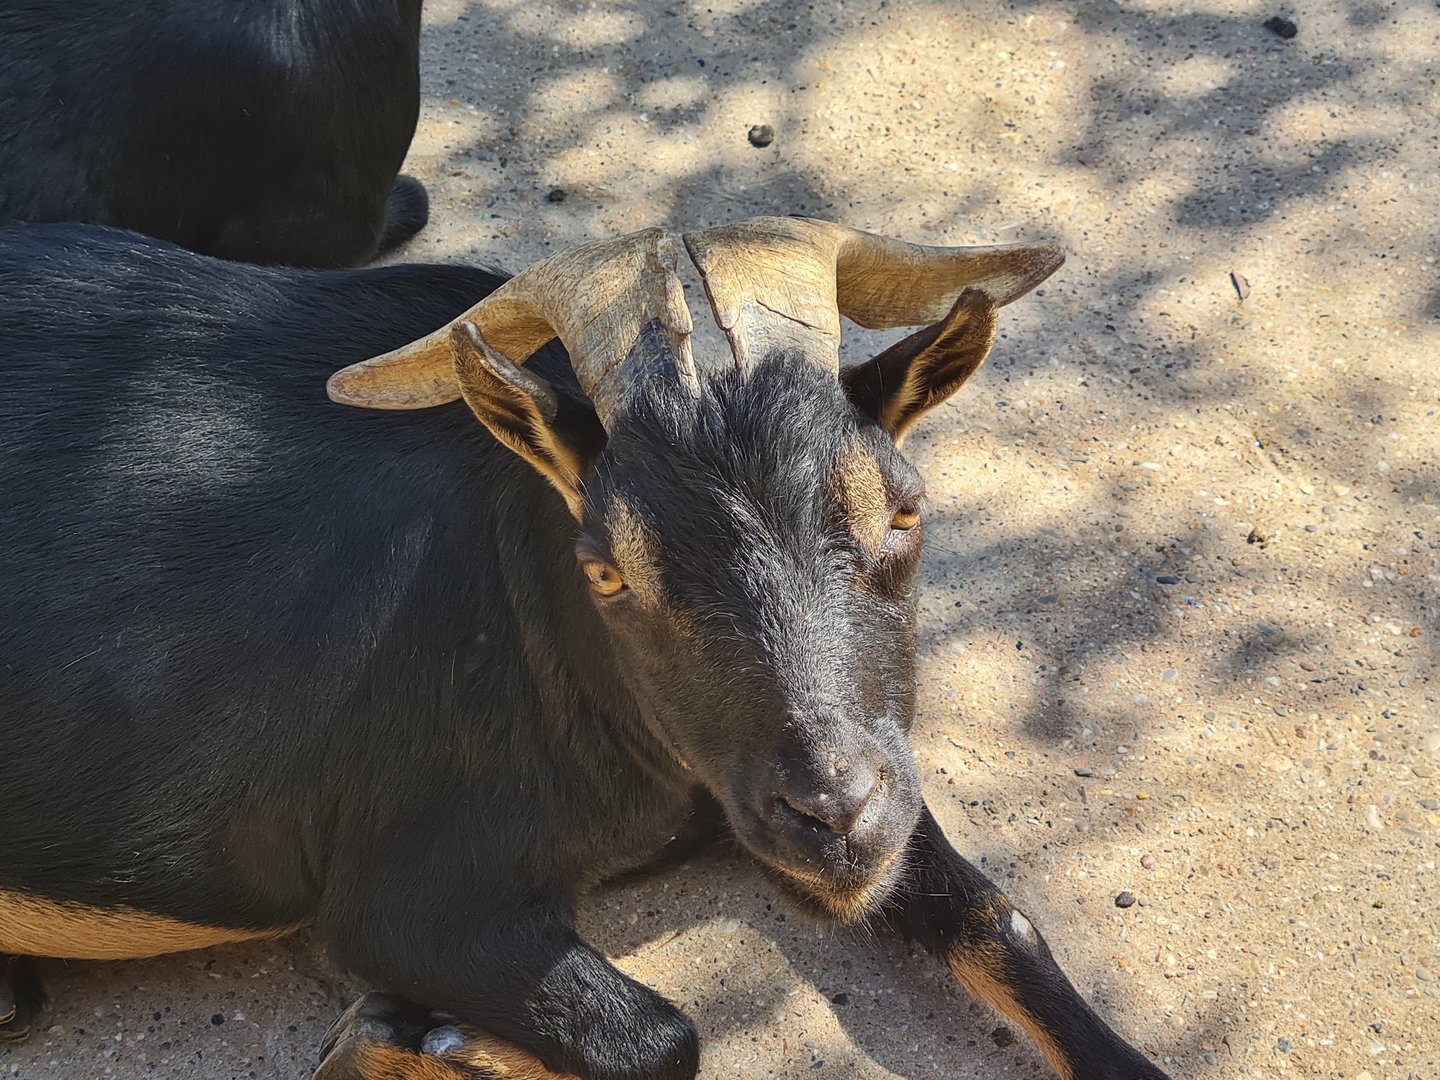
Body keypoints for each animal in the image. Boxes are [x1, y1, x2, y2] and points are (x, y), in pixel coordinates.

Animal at [0, 218, 1170, 1080]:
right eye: (608, 570)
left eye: (905, 514)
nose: (832, 818)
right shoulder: (398, 891)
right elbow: (662, 1040)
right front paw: (409, 1040)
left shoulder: (815, 777)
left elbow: (1000, 919)